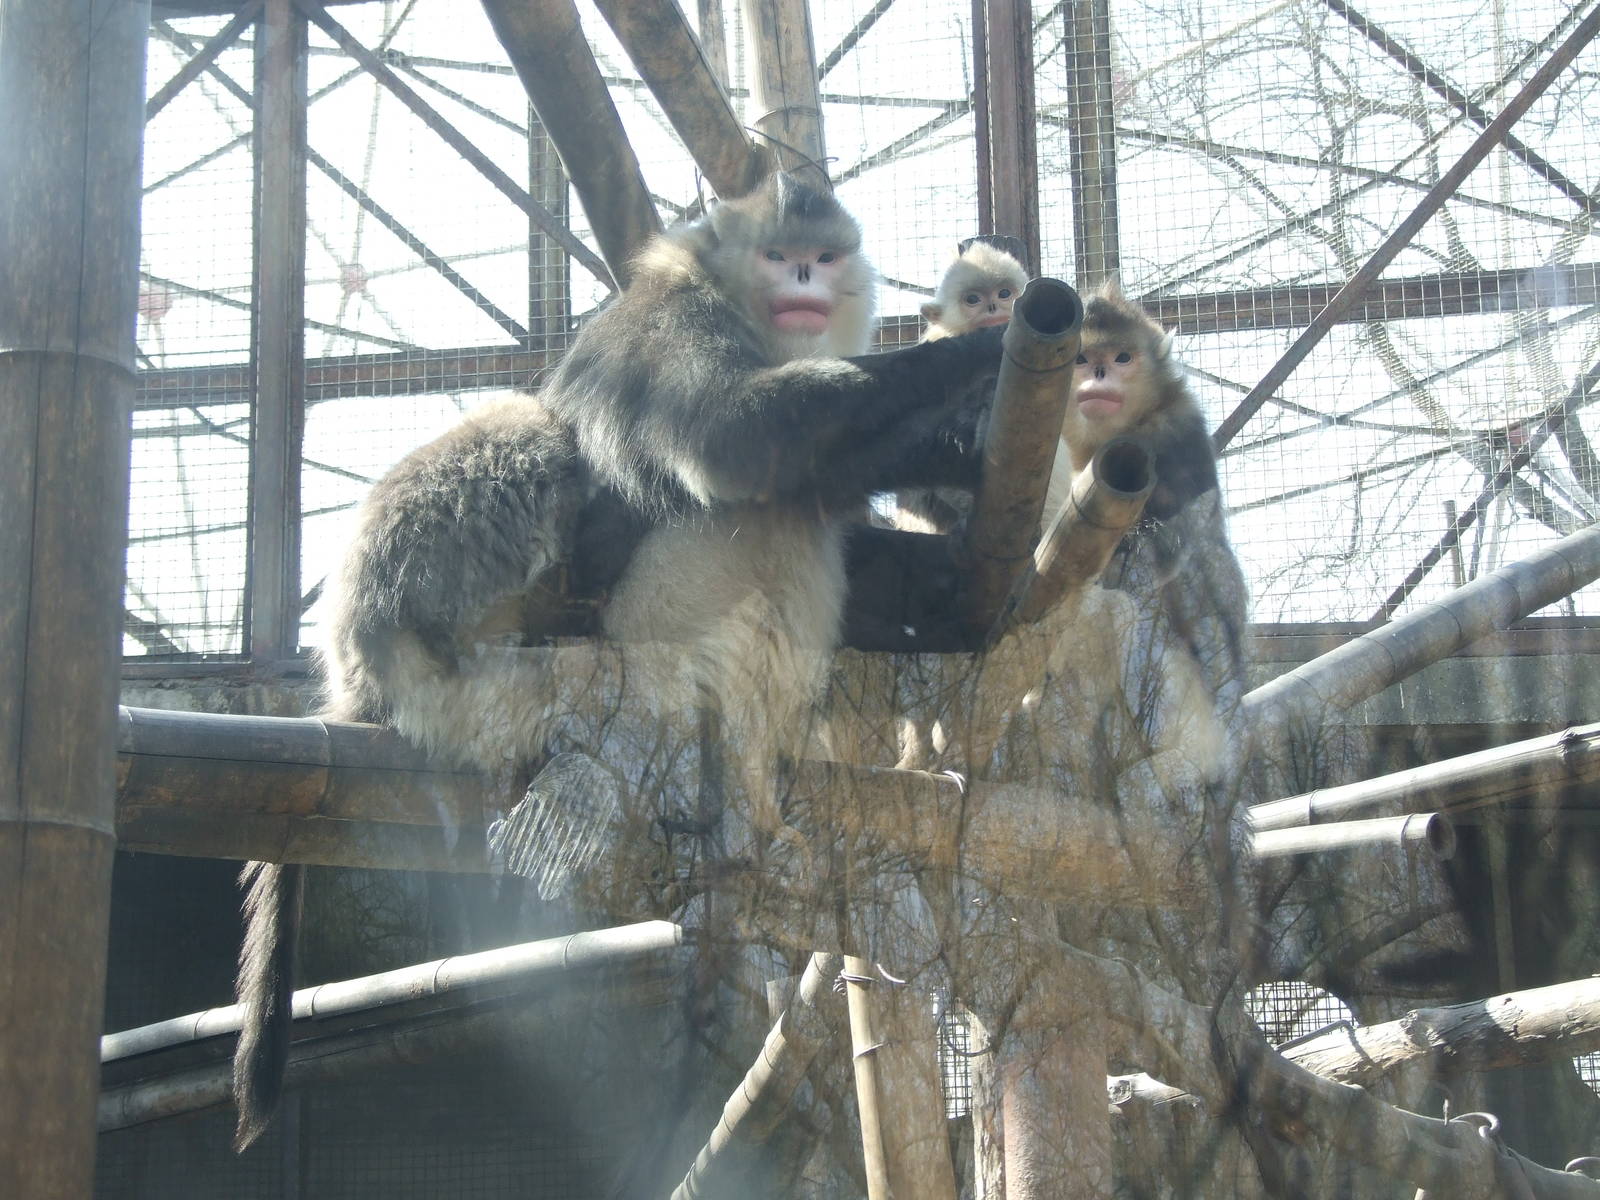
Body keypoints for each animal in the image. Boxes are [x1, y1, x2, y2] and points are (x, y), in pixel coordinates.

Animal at [231, 173, 1011, 1151]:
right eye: (780, 254)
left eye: (825, 257)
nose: (804, 275)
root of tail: (359, 671)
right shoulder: (667, 323)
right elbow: (734, 440)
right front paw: (995, 353)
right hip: (502, 665)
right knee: (558, 442)